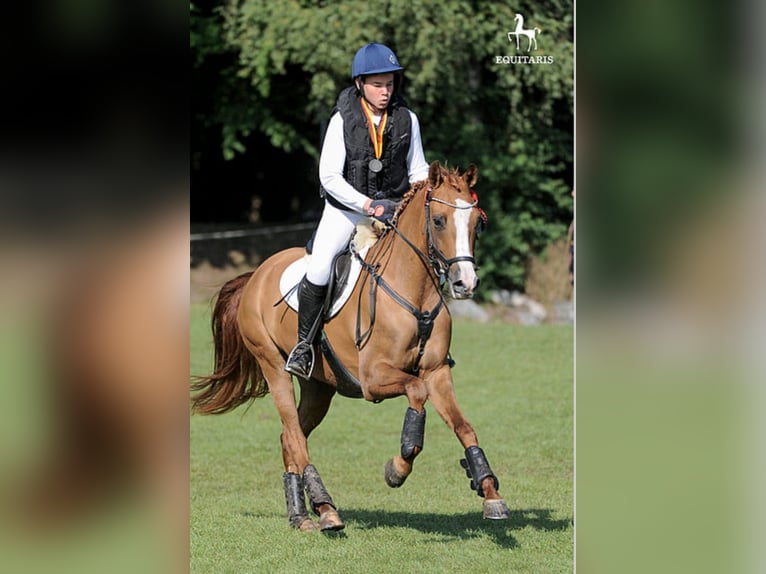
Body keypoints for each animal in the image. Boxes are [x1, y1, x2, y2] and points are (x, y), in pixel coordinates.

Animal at [192, 161, 510, 532]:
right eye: (439, 221)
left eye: (477, 223)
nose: (465, 283)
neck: (414, 292)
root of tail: (256, 274)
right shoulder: (374, 379)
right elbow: (416, 395)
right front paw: (397, 468)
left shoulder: (437, 372)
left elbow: (463, 426)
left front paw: (490, 493)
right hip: (273, 366)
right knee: (295, 436)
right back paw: (326, 509)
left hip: (319, 387)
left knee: (290, 436)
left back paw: (301, 514)